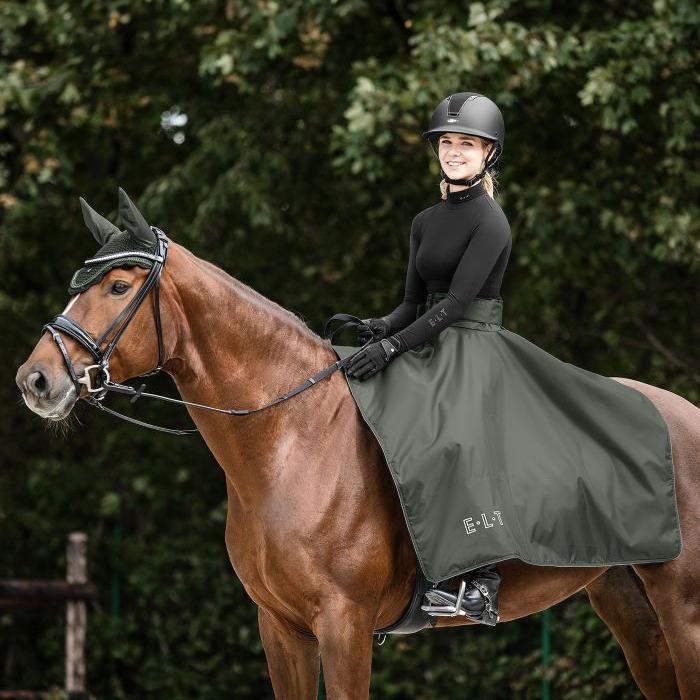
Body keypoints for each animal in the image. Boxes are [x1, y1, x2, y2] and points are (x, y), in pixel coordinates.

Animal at [15, 223, 700, 696]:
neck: (291, 439)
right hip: (630, 609)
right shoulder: (282, 628)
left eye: (119, 287)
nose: (36, 380)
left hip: (684, 611)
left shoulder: (343, 626)